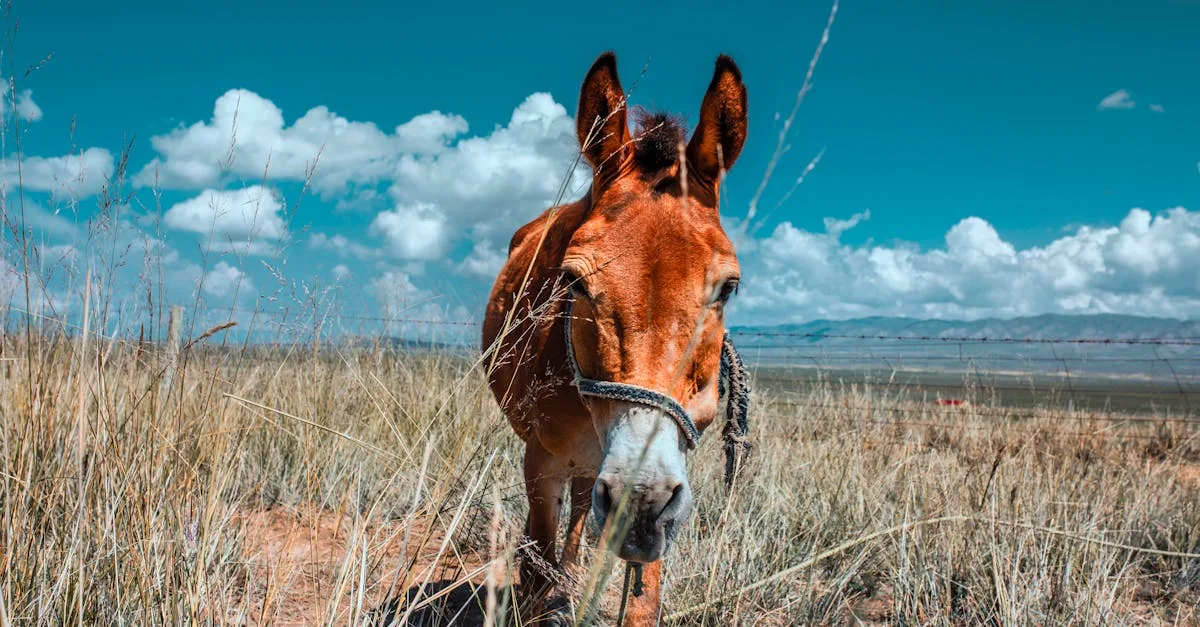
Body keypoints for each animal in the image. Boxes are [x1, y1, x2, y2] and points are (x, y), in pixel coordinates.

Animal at [482, 51, 752, 625]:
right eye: (574, 281)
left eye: (728, 288)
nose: (638, 505)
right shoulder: (540, 463)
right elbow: (535, 568)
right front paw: (545, 591)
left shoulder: (672, 477)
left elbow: (642, 599)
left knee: (585, 508)